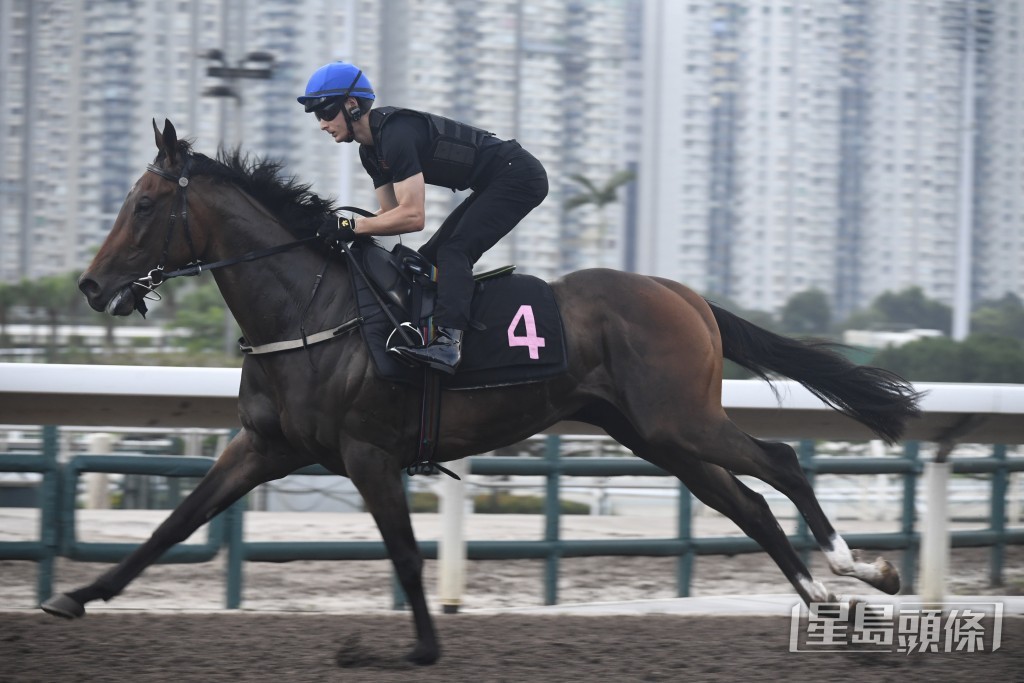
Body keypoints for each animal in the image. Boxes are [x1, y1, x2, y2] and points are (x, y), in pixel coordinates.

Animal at [48, 120, 925, 663]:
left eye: (146, 204)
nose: (91, 286)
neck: (310, 310)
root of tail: (687, 295)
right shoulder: (265, 445)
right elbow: (174, 522)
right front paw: (77, 596)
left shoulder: (368, 454)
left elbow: (405, 553)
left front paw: (420, 647)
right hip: (655, 433)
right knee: (745, 503)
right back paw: (827, 603)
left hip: (679, 418)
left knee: (779, 461)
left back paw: (857, 569)